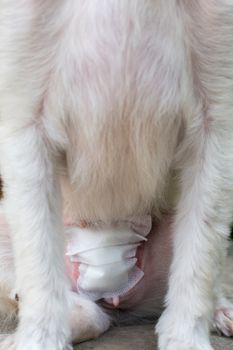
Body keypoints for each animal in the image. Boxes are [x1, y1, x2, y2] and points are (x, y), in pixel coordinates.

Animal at [0, 0, 233, 350]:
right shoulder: (27, 121)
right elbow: (39, 262)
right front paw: (40, 338)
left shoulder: (216, 124)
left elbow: (201, 254)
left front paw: (186, 337)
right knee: (84, 311)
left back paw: (220, 308)